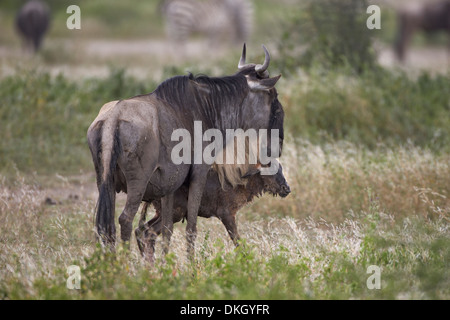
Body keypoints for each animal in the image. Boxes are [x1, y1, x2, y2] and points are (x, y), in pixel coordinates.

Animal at [134, 162, 290, 262]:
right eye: (271, 170)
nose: (286, 189)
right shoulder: (226, 215)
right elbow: (237, 241)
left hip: (164, 214)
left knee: (141, 231)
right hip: (175, 214)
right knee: (147, 232)